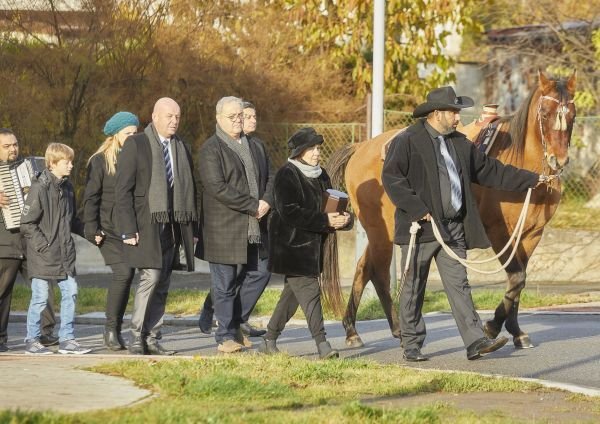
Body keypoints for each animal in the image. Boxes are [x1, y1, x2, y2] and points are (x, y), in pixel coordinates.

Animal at [328, 69, 576, 348]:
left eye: (572, 114)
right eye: (544, 114)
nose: (559, 160)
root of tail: (360, 148)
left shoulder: (531, 235)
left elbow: (518, 282)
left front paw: (515, 331)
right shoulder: (499, 233)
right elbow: (516, 277)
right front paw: (492, 327)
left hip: (383, 232)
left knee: (363, 268)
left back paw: (354, 331)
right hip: (381, 232)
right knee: (378, 273)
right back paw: (397, 330)